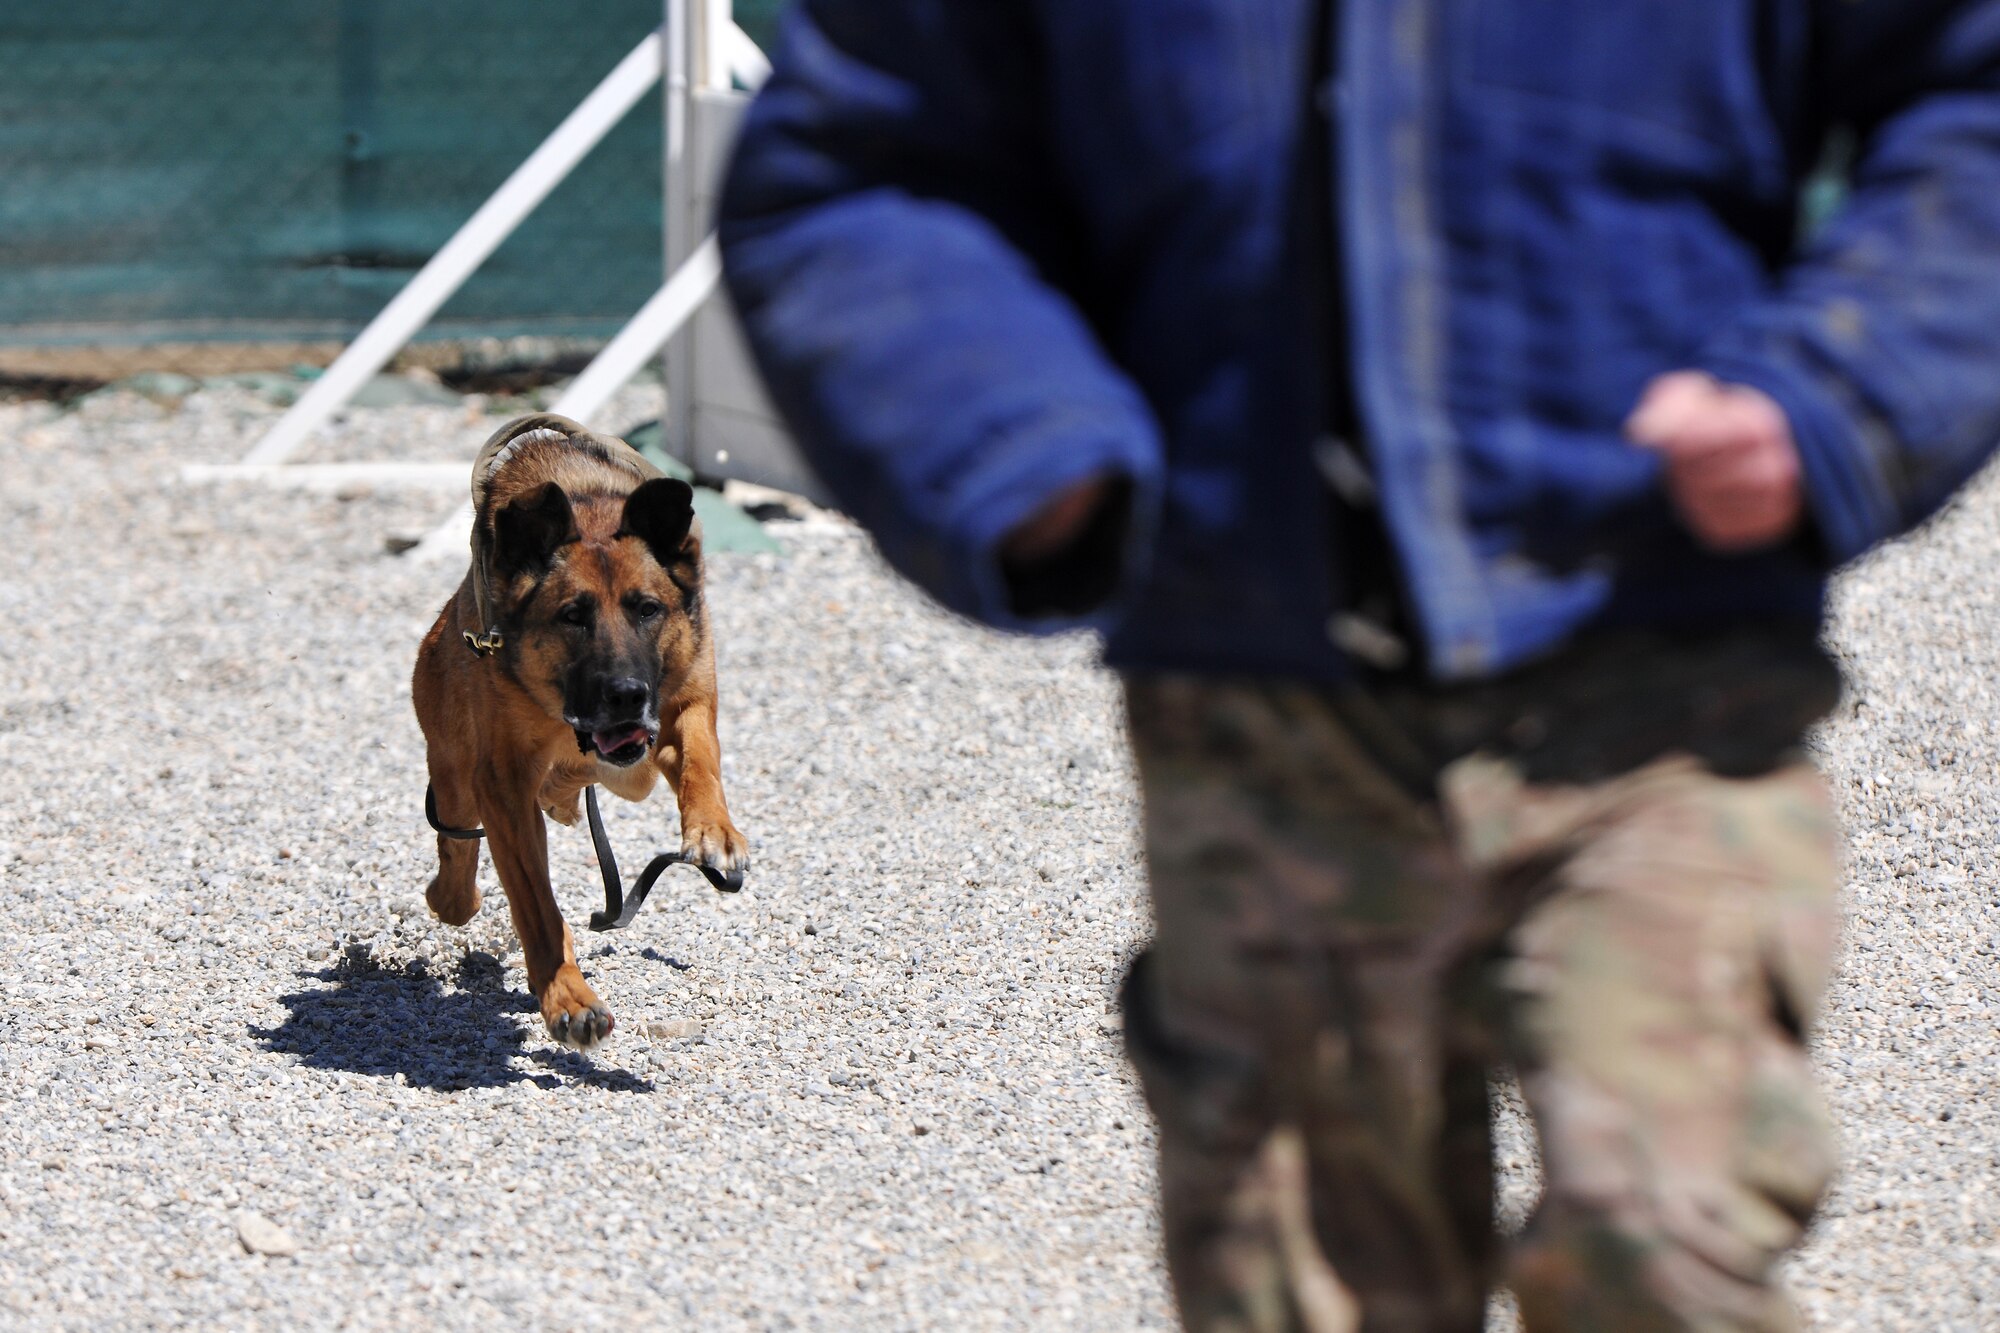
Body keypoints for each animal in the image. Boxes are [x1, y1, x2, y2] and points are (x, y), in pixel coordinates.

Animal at [414, 410, 752, 1040]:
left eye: (648, 609)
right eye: (572, 616)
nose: (626, 695)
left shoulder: (684, 705)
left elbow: (701, 759)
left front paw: (714, 832)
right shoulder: (503, 783)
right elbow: (536, 904)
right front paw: (566, 996)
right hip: (455, 772)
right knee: (456, 851)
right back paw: (455, 893)